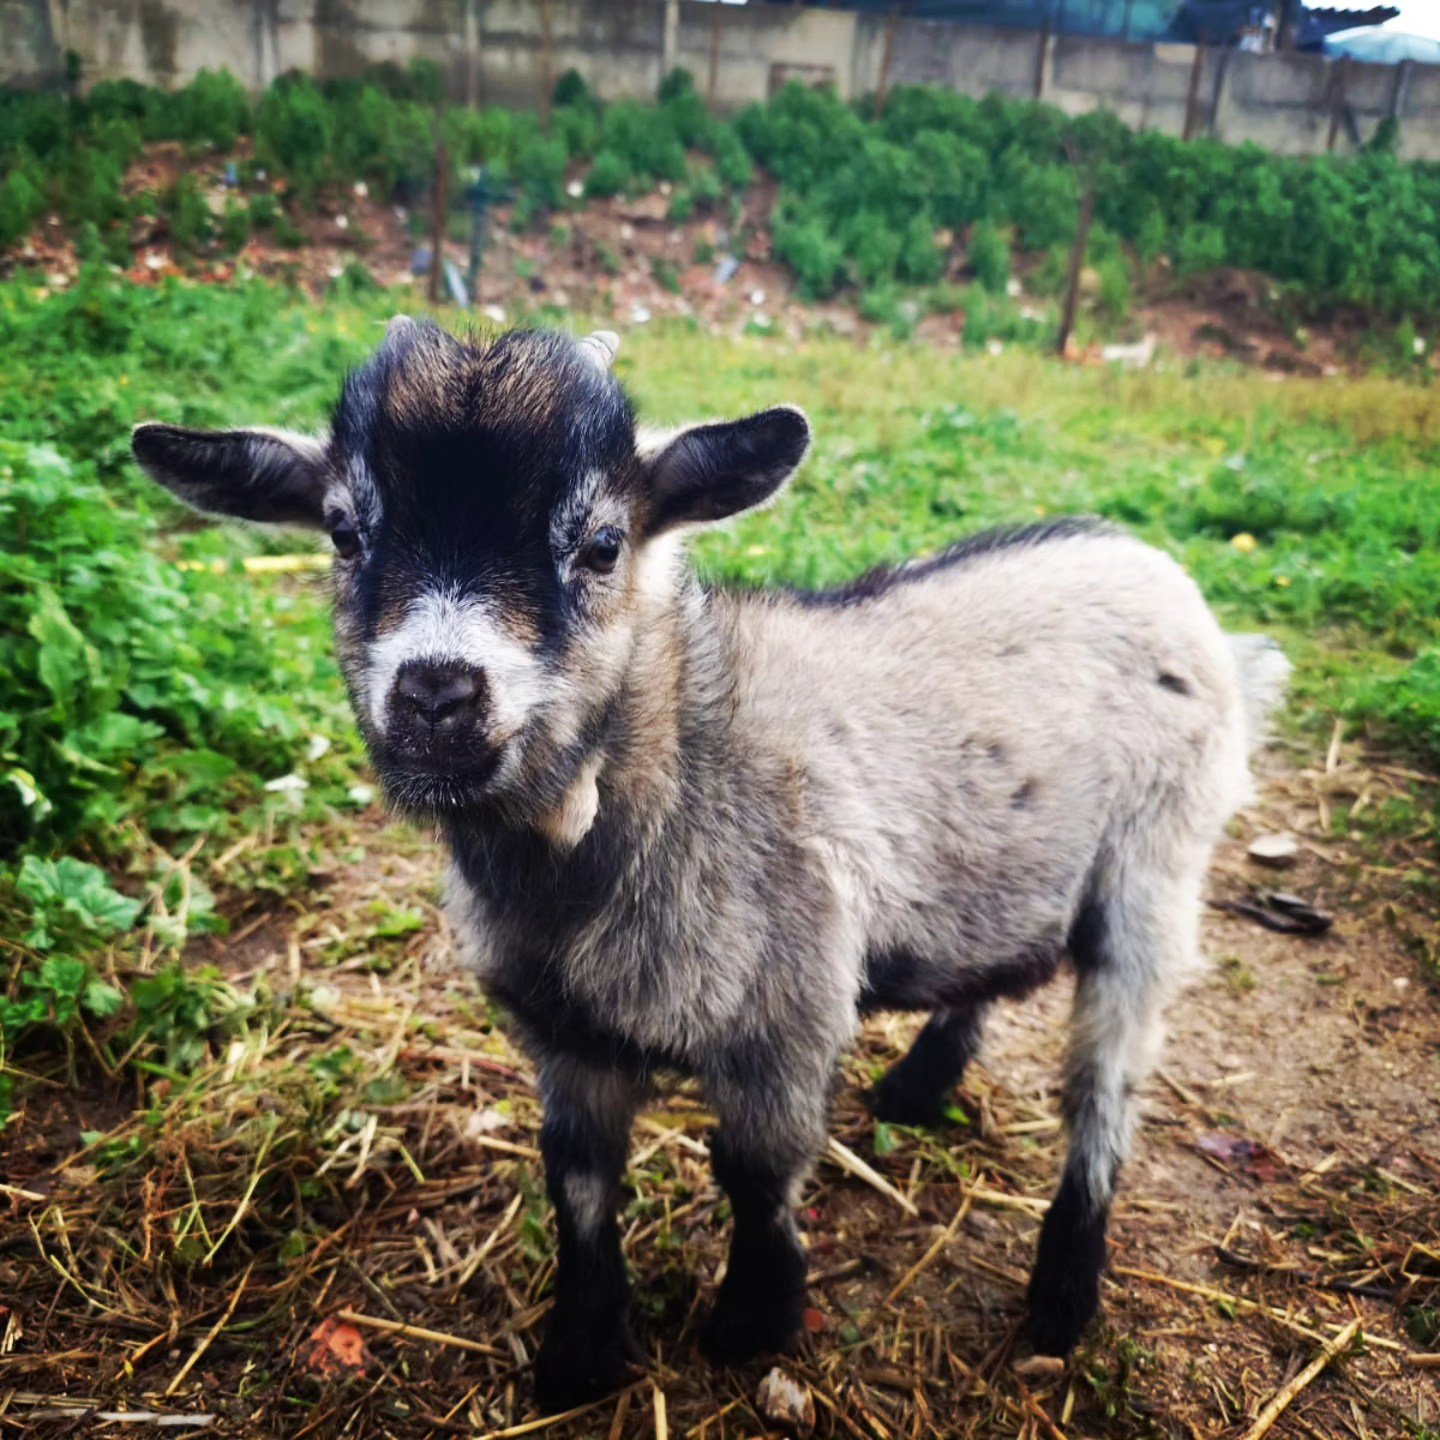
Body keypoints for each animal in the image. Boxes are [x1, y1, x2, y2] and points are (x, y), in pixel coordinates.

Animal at [132, 319, 1290, 1410]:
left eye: (602, 544)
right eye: (343, 530)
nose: (436, 695)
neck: (676, 773)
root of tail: (1157, 572)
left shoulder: (787, 1015)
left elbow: (754, 1171)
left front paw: (753, 1320)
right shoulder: (562, 1034)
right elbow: (577, 1181)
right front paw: (583, 1350)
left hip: (1155, 867)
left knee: (1107, 1076)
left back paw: (1063, 1288)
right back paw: (920, 1088)